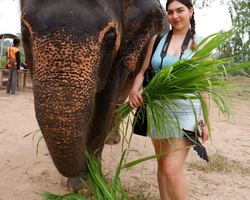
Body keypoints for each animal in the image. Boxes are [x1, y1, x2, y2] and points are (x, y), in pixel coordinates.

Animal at [21, 0, 170, 194]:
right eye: (24, 33)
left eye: (110, 37)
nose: (82, 168)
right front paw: (82, 183)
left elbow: (103, 105)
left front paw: (87, 186)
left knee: (118, 102)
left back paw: (112, 140)